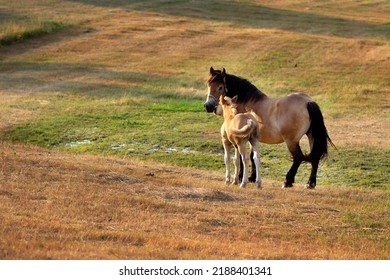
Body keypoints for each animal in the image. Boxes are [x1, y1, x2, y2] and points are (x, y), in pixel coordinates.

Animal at [204, 67, 336, 189]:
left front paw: (242, 178)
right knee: (315, 158)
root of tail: (308, 102)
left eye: (221, 87)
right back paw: (310, 183)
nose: (208, 106)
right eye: (208, 84)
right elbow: (252, 156)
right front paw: (252, 178)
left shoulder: (242, 139)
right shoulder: (253, 139)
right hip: (311, 136)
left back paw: (287, 181)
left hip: (292, 141)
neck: (246, 103)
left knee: (298, 158)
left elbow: (242, 158)